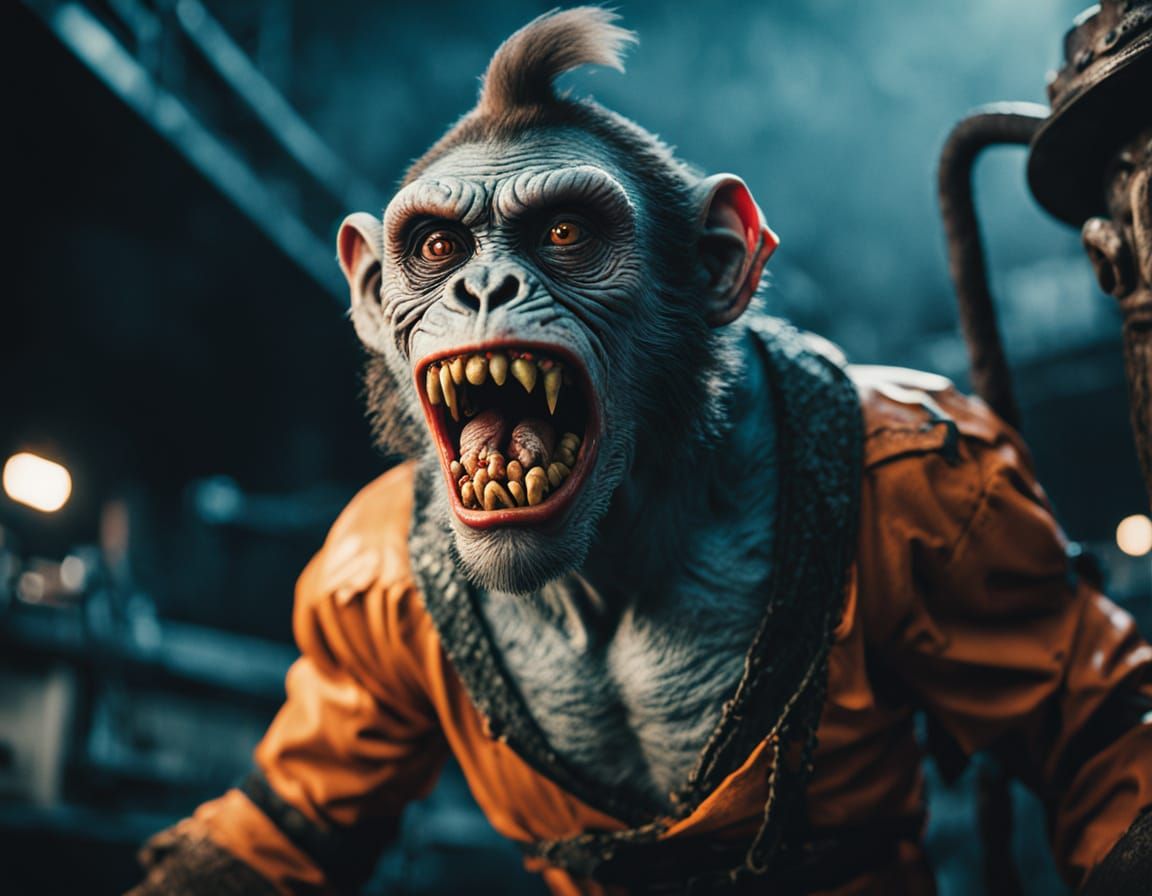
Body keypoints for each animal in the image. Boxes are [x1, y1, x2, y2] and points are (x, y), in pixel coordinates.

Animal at [130, 8, 1152, 895]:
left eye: (565, 233)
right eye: (435, 245)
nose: (483, 287)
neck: (608, 562)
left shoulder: (960, 492)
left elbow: (1092, 738)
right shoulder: (355, 577)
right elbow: (284, 824)